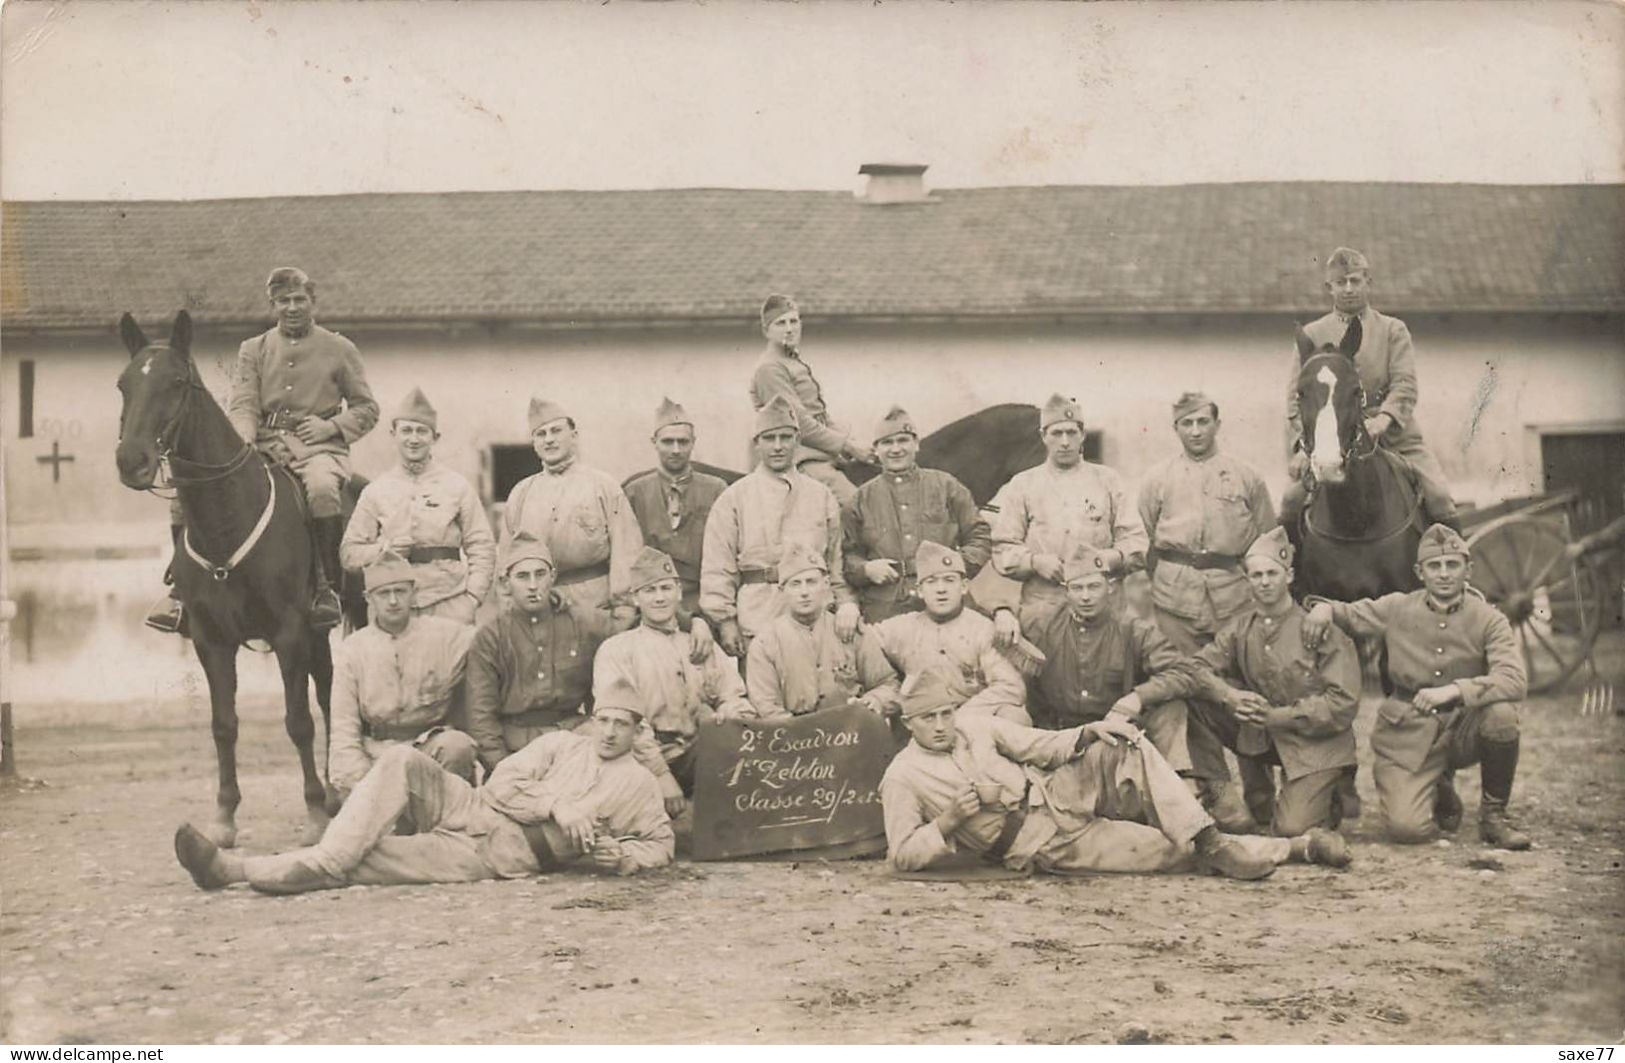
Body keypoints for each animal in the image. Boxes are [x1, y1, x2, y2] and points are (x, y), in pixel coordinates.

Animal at [117, 310, 333, 851]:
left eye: (176, 382)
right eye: (123, 384)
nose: (131, 461)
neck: (227, 517)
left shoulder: (290, 634)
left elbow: (298, 721)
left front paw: (314, 813)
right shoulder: (211, 641)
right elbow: (223, 725)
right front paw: (224, 817)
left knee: (326, 696)